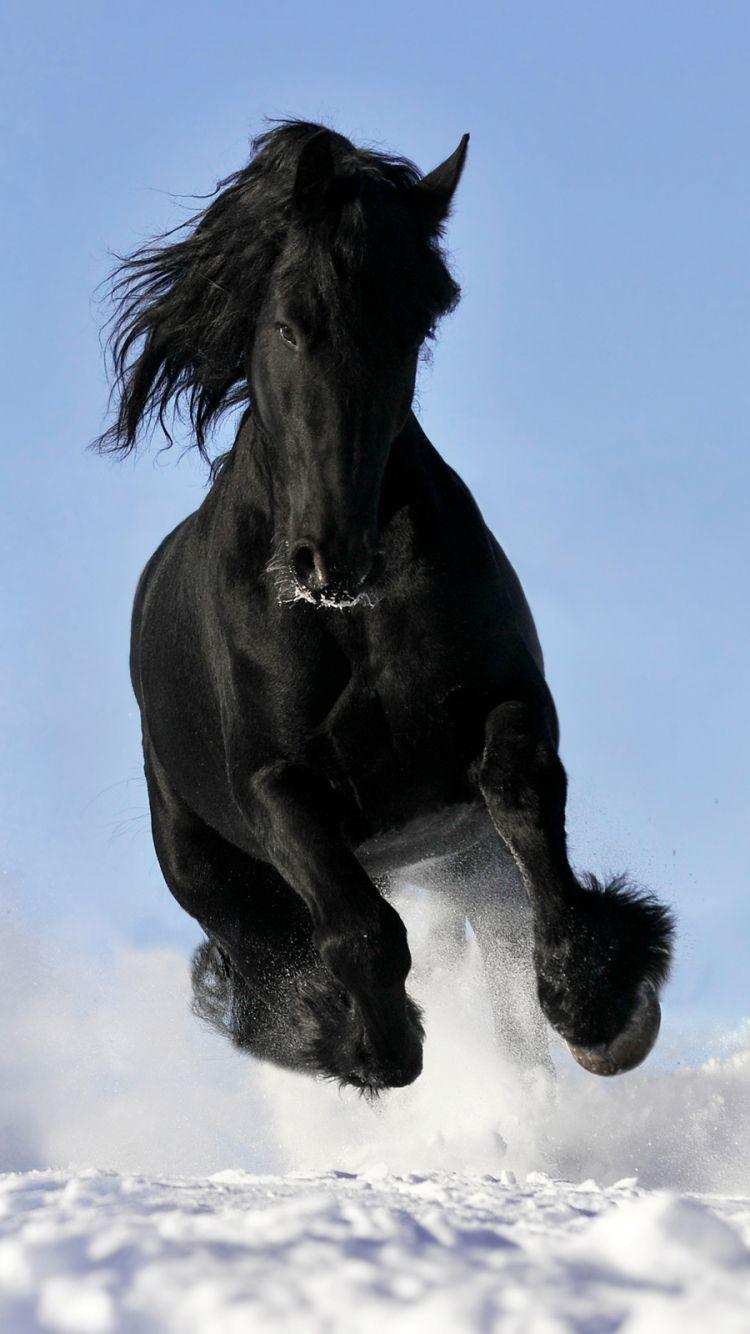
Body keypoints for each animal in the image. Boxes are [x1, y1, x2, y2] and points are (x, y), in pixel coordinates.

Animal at [96, 120, 674, 1092]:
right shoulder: (276, 787)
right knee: (266, 957)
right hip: (210, 870)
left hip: (463, 863)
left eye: (413, 327)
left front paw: (601, 1003)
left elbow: (523, 800)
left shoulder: (505, 706)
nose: (330, 556)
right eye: (290, 324)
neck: (350, 621)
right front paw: (365, 1042)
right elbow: (359, 931)